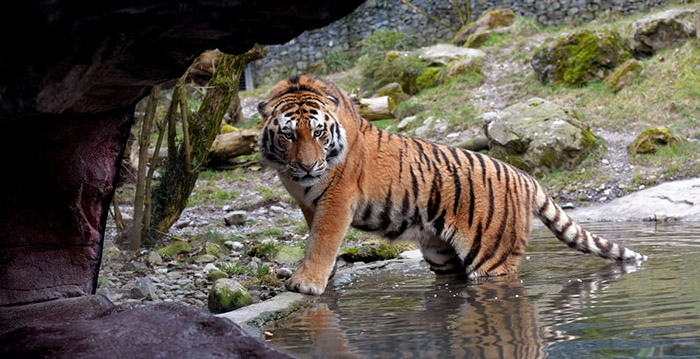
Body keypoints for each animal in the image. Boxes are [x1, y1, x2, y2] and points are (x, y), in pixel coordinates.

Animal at [258, 74, 644, 296]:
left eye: (319, 133)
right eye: (288, 134)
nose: (308, 166)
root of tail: (525, 176)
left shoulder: (337, 196)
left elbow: (323, 239)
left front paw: (306, 283)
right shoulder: (309, 201)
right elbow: (316, 237)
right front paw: (328, 276)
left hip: (491, 257)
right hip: (441, 252)